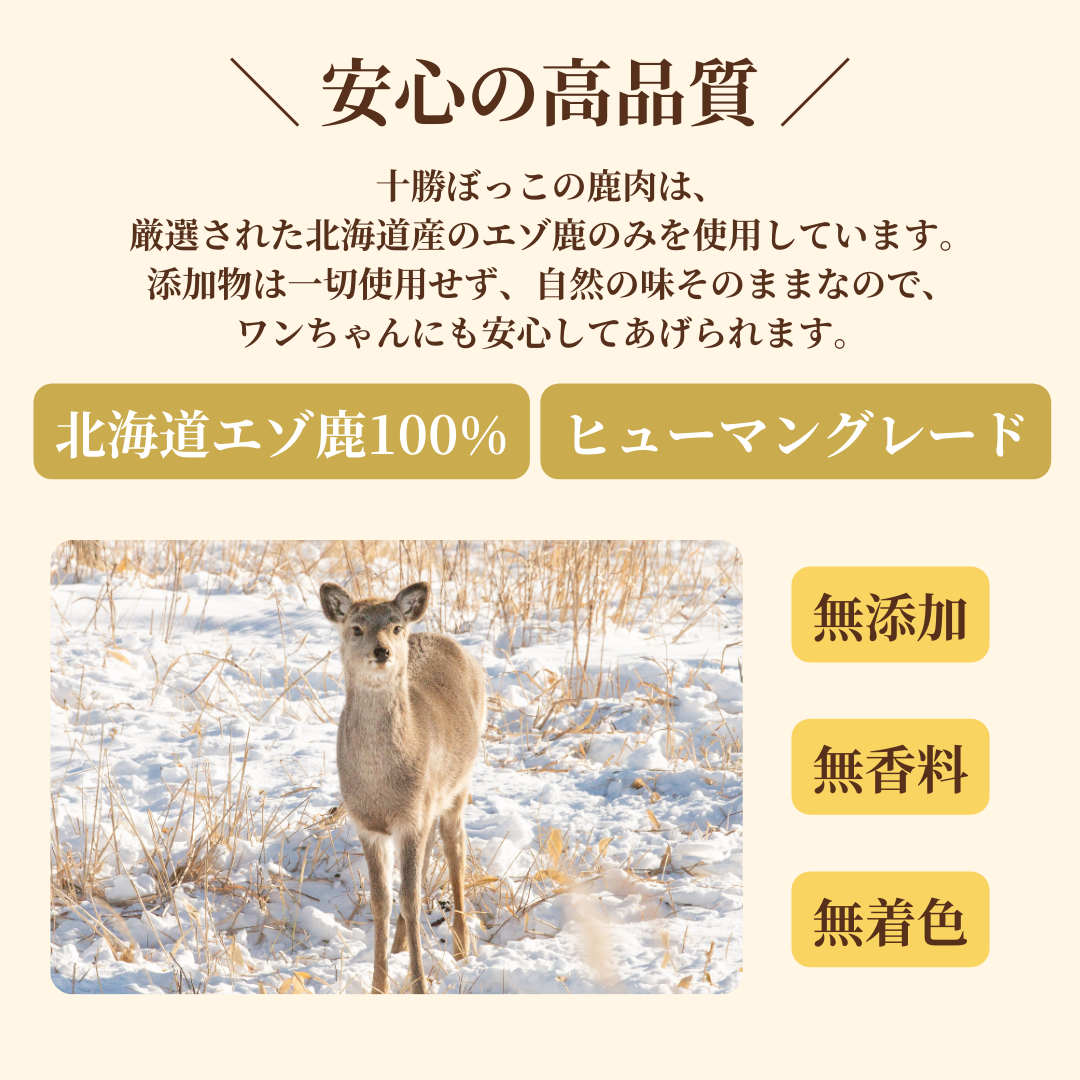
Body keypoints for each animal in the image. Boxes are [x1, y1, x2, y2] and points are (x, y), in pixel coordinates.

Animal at [319, 580, 486, 993]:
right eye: (356, 628)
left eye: (395, 627)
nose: (382, 651)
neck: (381, 782)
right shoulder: (368, 823)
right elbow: (382, 901)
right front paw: (379, 984)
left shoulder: (411, 817)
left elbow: (409, 899)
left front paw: (419, 984)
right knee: (427, 861)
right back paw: (399, 947)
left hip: (458, 786)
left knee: (455, 850)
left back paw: (461, 950)